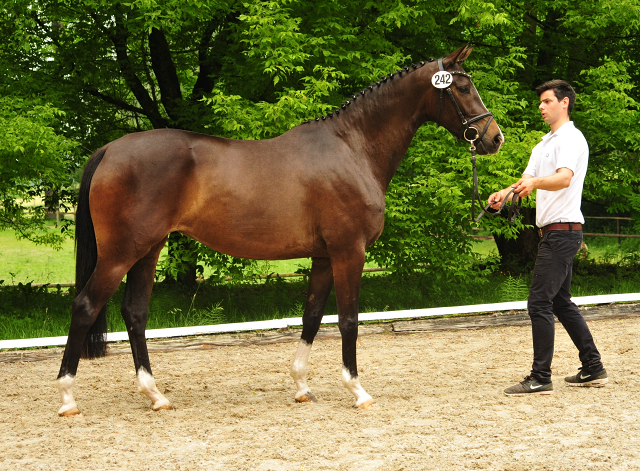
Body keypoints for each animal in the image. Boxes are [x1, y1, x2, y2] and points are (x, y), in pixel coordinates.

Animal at [56, 45, 504, 416]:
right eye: (463, 87)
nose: (494, 138)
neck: (352, 148)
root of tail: (110, 150)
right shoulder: (349, 251)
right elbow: (348, 319)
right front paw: (357, 391)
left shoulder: (323, 256)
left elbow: (312, 316)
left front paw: (302, 387)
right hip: (120, 254)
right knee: (84, 307)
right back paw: (67, 398)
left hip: (147, 250)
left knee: (135, 313)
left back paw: (155, 395)